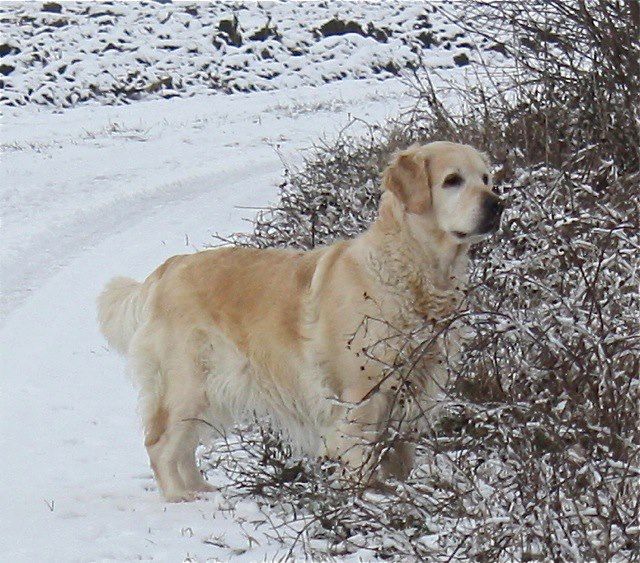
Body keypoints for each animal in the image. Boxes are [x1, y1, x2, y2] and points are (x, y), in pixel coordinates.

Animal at [96, 142, 504, 502]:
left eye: (486, 179)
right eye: (452, 180)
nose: (497, 204)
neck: (413, 269)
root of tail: (166, 269)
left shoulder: (416, 390)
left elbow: (400, 456)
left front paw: (398, 493)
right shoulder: (361, 396)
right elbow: (360, 458)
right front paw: (364, 502)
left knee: (182, 446)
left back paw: (200, 489)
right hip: (189, 383)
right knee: (160, 444)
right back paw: (179, 496)